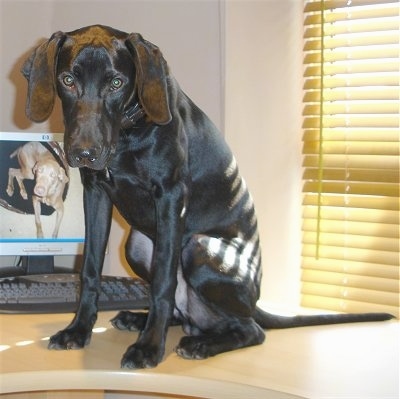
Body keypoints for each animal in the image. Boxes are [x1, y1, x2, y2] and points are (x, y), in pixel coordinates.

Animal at [20, 25, 392, 368]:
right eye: (68, 79)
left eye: (116, 83)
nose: (84, 153)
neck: (128, 132)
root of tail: (254, 303)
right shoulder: (96, 194)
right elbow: (90, 269)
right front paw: (79, 330)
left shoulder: (170, 197)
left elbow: (164, 282)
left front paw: (149, 348)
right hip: (137, 244)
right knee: (186, 312)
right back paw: (140, 319)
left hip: (200, 248)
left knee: (250, 330)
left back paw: (200, 344)